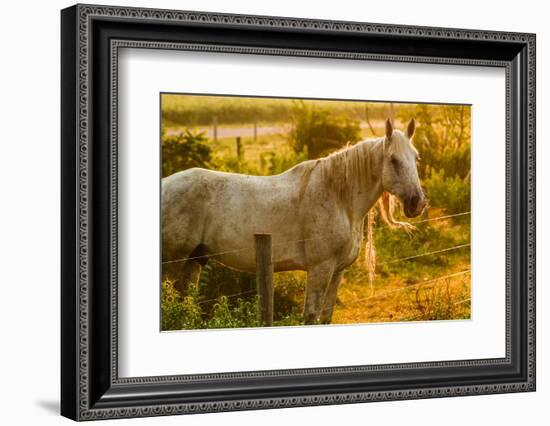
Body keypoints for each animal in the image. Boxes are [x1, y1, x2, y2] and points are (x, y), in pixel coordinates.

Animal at [162, 118, 430, 324]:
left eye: (416, 158)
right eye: (393, 160)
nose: (417, 202)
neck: (338, 197)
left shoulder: (337, 271)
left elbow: (325, 317)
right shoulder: (320, 269)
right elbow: (311, 316)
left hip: (194, 261)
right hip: (173, 263)